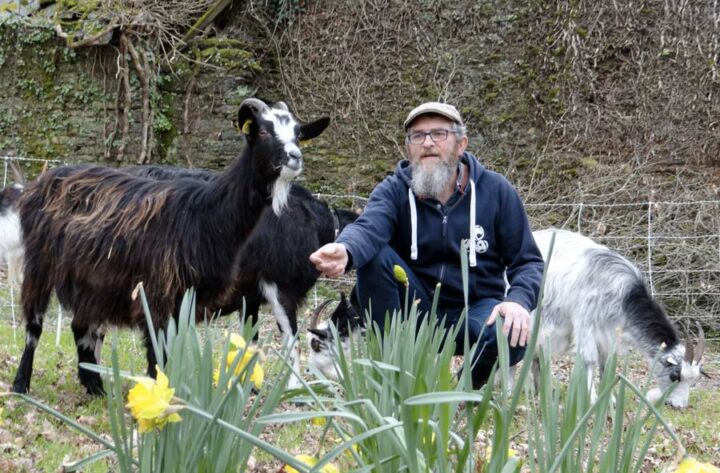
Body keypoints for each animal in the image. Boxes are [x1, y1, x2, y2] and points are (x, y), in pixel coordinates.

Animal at [11, 98, 330, 394]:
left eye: (297, 133)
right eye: (263, 131)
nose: (295, 157)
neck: (204, 214)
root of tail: (42, 181)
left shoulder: (189, 299)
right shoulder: (157, 294)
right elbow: (158, 353)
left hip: (91, 280)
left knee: (81, 326)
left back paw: (96, 388)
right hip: (40, 264)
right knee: (35, 325)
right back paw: (21, 384)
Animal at [532, 228, 704, 406]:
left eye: (694, 379)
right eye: (675, 376)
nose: (679, 406)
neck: (624, 296)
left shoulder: (608, 334)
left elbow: (606, 364)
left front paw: (609, 400)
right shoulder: (585, 322)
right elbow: (589, 360)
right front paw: (591, 399)